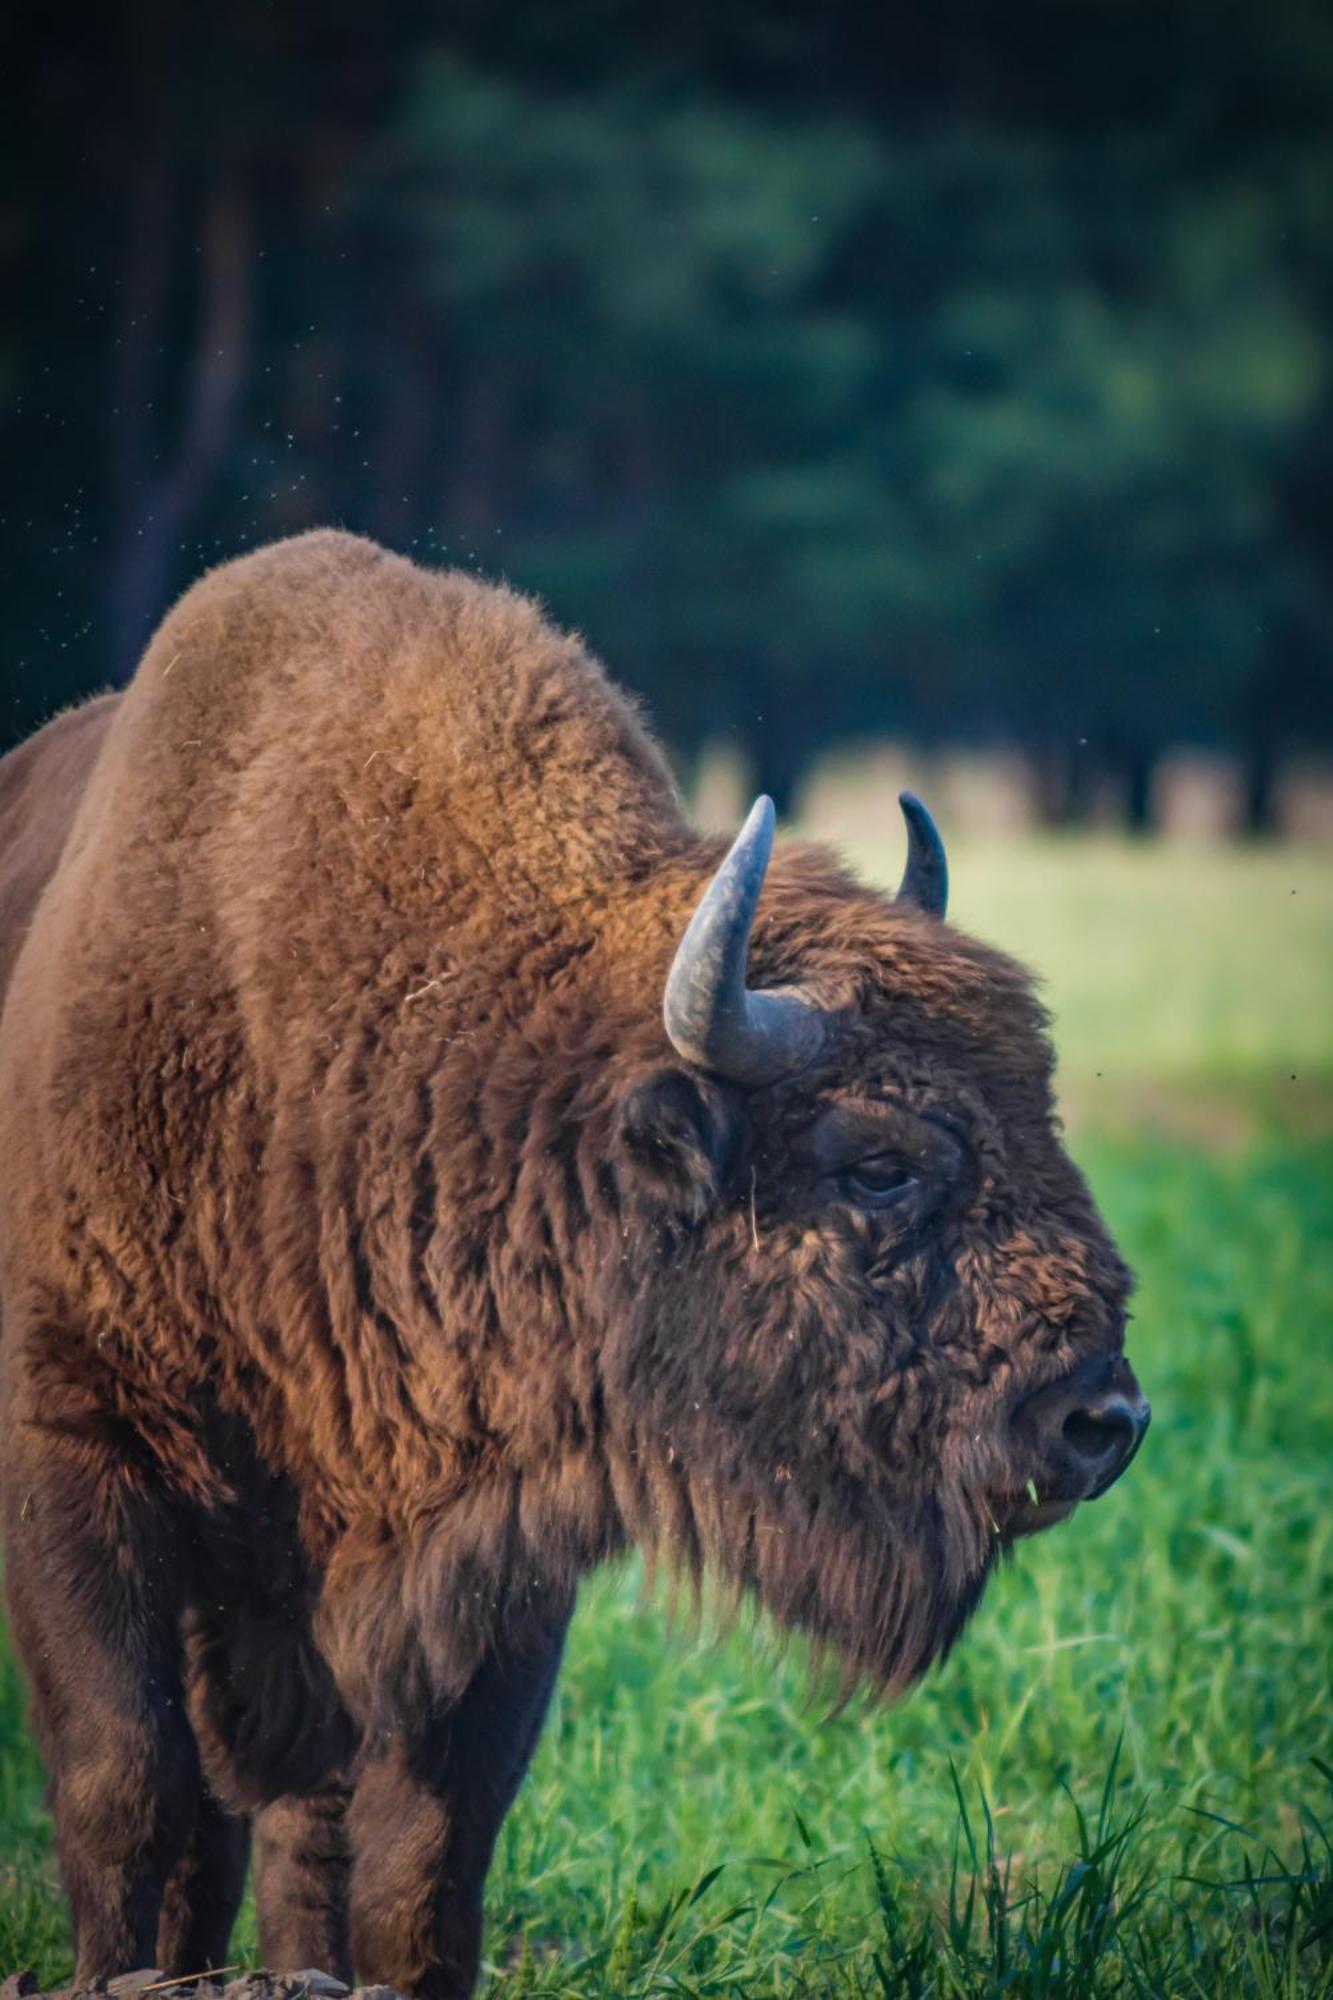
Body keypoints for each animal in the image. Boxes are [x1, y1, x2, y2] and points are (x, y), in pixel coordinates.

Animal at [0, 532, 1144, 2000]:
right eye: (877, 1163)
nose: (1100, 1419)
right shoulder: (74, 1448)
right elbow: (126, 1784)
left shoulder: (500, 1552)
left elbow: (422, 1845)